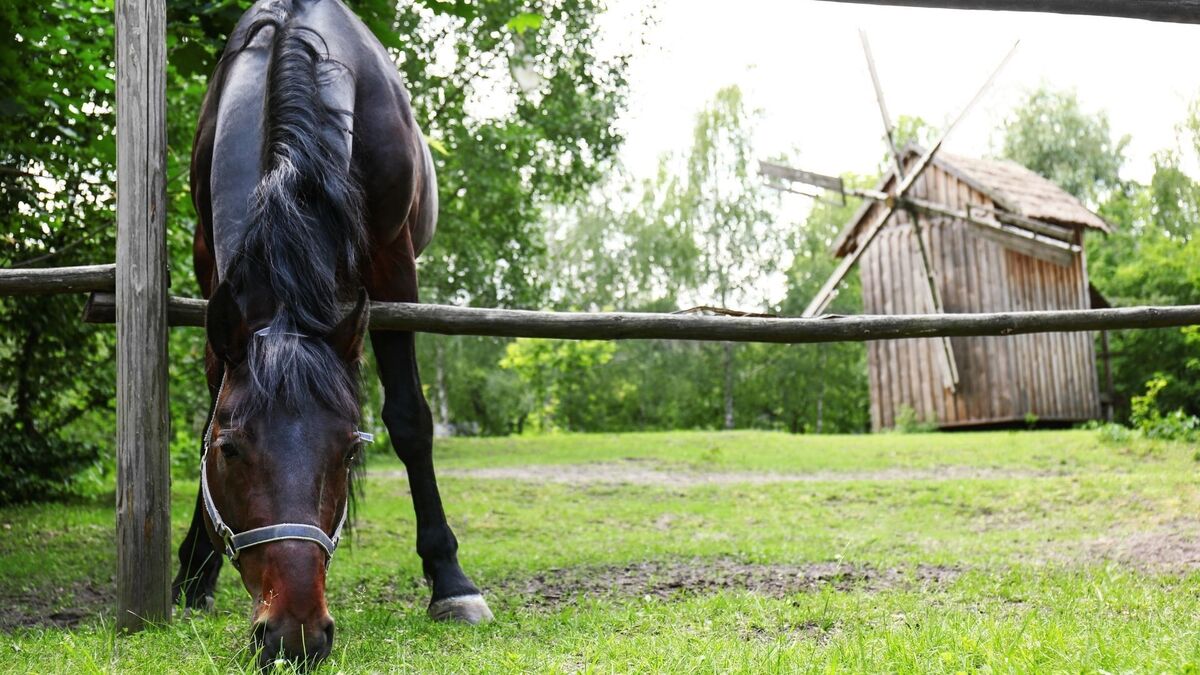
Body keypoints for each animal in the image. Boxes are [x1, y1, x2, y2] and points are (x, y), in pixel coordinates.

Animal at [166, 0, 489, 662]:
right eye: (228, 450)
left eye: (347, 453)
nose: (293, 631)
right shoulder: (210, 263)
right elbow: (211, 399)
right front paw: (193, 572)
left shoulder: (394, 265)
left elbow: (410, 419)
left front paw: (451, 582)